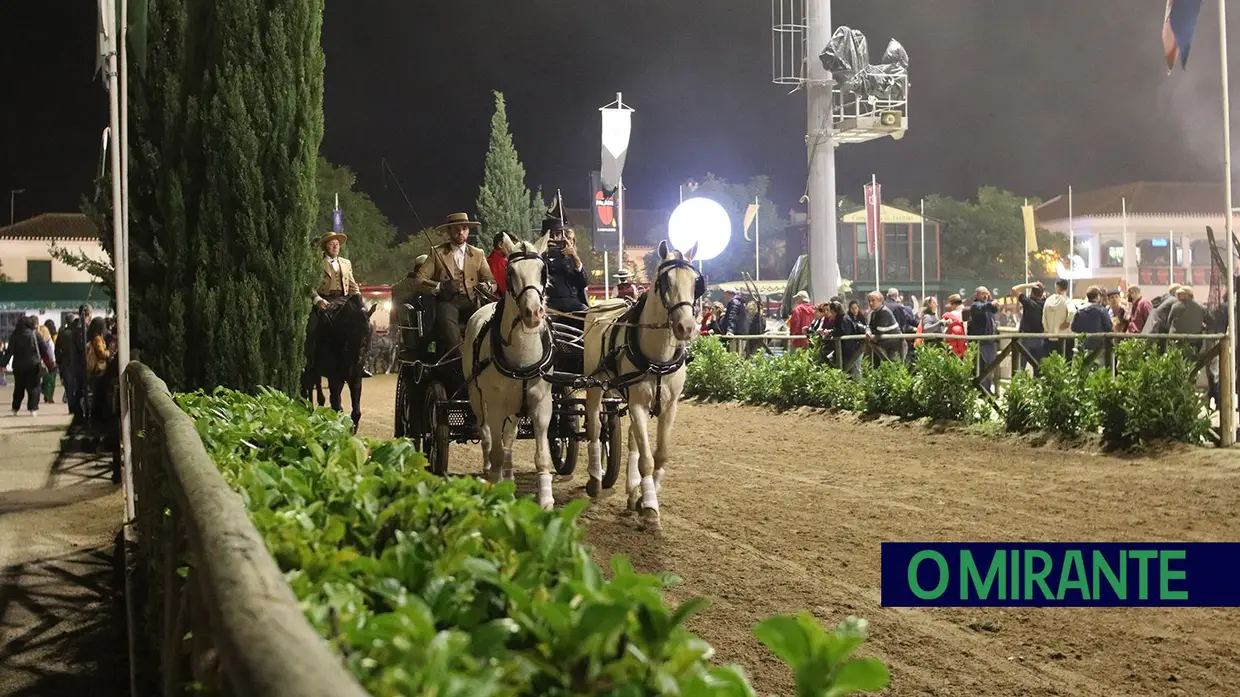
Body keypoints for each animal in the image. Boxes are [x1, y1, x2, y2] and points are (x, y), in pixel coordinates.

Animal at [461, 231, 558, 503]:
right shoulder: (494, 405)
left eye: (543, 271)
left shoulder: (541, 405)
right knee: (485, 435)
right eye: (511, 272)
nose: (533, 313)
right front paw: (495, 488)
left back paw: (509, 475)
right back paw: (490, 473)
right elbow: (494, 449)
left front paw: (546, 499)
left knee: (509, 438)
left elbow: (540, 455)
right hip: (476, 397)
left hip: (515, 406)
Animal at [580, 240, 699, 525]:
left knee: (633, 439)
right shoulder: (637, 405)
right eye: (664, 282)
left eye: (695, 281)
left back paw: (632, 491)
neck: (658, 358)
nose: (686, 327)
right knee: (594, 428)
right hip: (594, 384)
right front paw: (650, 507)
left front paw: (644, 498)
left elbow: (659, 455)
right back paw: (595, 479)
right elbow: (646, 459)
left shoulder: (669, 406)